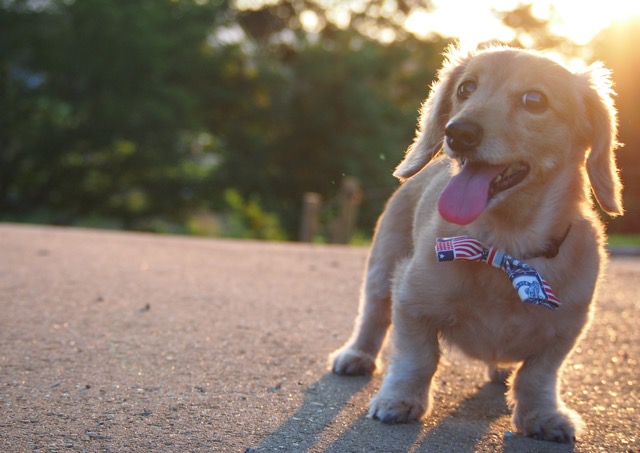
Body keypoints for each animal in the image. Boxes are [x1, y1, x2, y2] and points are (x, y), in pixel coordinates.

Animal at [332, 46, 624, 442]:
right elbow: (416, 359)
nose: (458, 133)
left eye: (535, 99)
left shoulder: (566, 330)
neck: (504, 250)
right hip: (382, 268)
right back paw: (357, 356)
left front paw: (543, 416)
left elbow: (538, 376)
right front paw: (400, 400)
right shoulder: (411, 303)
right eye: (466, 88)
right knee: (373, 316)